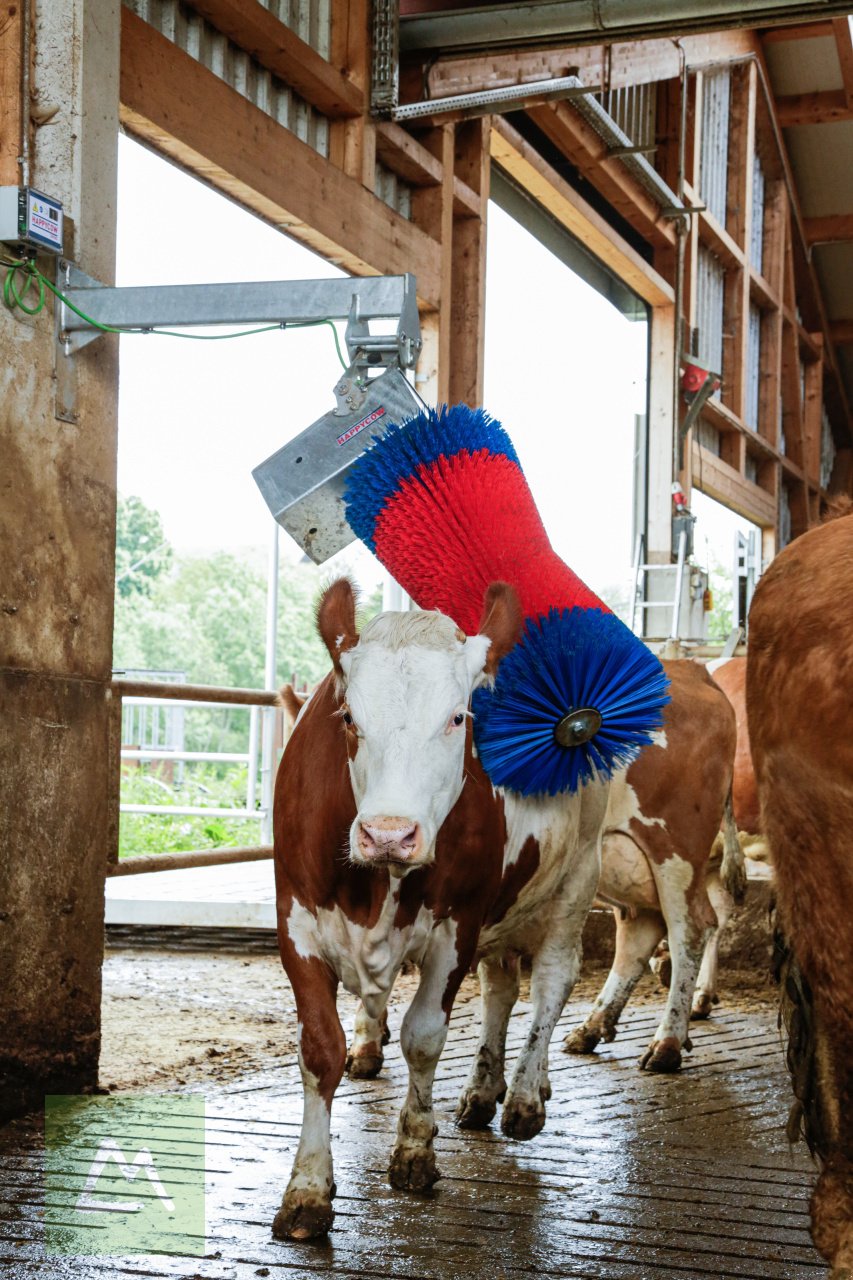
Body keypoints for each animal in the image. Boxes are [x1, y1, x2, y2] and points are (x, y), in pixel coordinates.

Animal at [268, 583, 607, 1239]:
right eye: (349, 719)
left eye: (457, 718)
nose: (388, 834)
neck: (374, 889)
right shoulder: (295, 921)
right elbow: (320, 1048)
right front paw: (307, 1189)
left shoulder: (460, 924)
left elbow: (424, 1037)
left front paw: (415, 1151)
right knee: (501, 987)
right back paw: (484, 1090)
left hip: (576, 877)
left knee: (553, 982)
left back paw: (524, 1095)